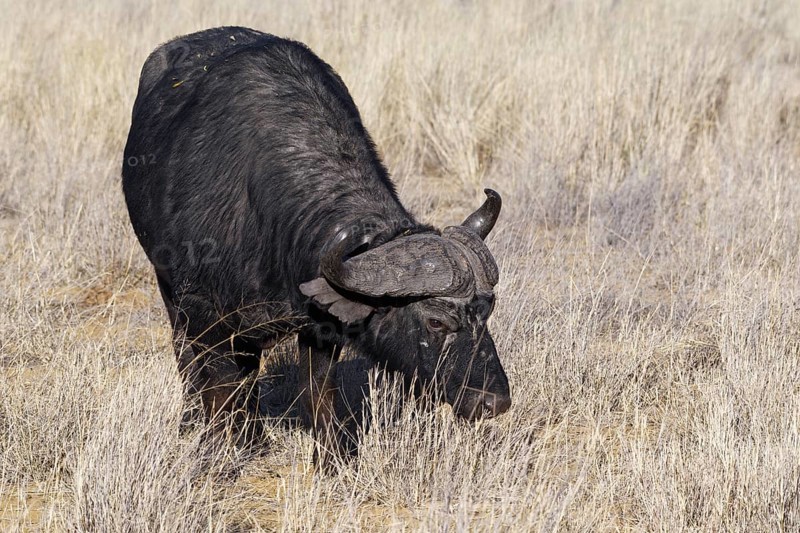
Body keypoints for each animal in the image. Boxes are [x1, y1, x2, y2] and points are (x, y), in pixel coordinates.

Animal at [122, 26, 510, 461]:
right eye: (436, 321)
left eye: (487, 311)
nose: (494, 402)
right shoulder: (201, 311)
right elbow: (217, 385)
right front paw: (222, 449)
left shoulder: (320, 324)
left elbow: (318, 390)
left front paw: (331, 458)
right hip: (168, 289)